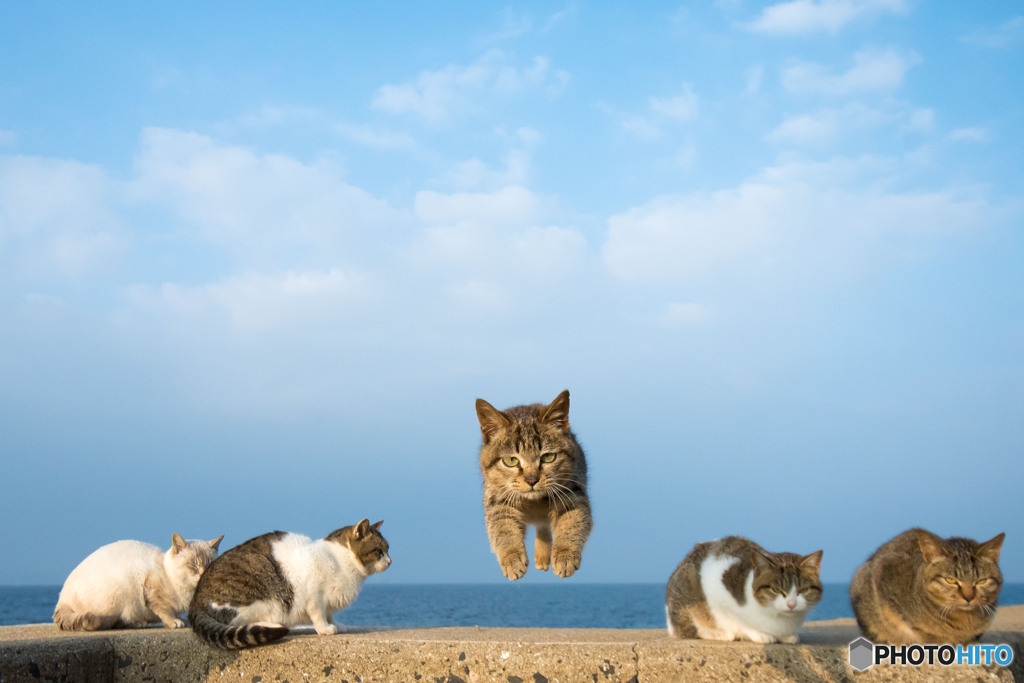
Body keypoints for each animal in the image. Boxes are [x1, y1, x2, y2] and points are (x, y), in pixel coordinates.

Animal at [51, 532, 224, 630]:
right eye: (193, 566)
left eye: (209, 565)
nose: (203, 575)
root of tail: (61, 599)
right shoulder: (151, 591)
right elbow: (164, 610)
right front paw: (174, 622)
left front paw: (180, 619)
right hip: (117, 597)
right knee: (110, 623)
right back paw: (137, 623)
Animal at [186, 520, 389, 651]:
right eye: (379, 551)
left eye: (388, 549)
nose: (390, 561)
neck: (343, 562)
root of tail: (196, 599)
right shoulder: (315, 596)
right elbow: (319, 614)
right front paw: (325, 629)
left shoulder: (329, 603)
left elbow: (330, 614)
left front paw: (336, 624)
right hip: (260, 585)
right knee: (237, 621)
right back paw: (271, 625)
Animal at [473, 389, 593, 581]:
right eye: (511, 460)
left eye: (548, 457)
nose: (531, 479)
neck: (535, 502)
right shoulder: (498, 500)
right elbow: (503, 530)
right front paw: (512, 558)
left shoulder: (573, 493)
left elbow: (570, 524)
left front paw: (565, 554)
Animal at [663, 536, 823, 643]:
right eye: (776, 589)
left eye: (803, 590)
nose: (791, 604)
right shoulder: (720, 591)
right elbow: (740, 621)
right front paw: (760, 634)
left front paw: (787, 636)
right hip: (687, 589)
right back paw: (723, 634)